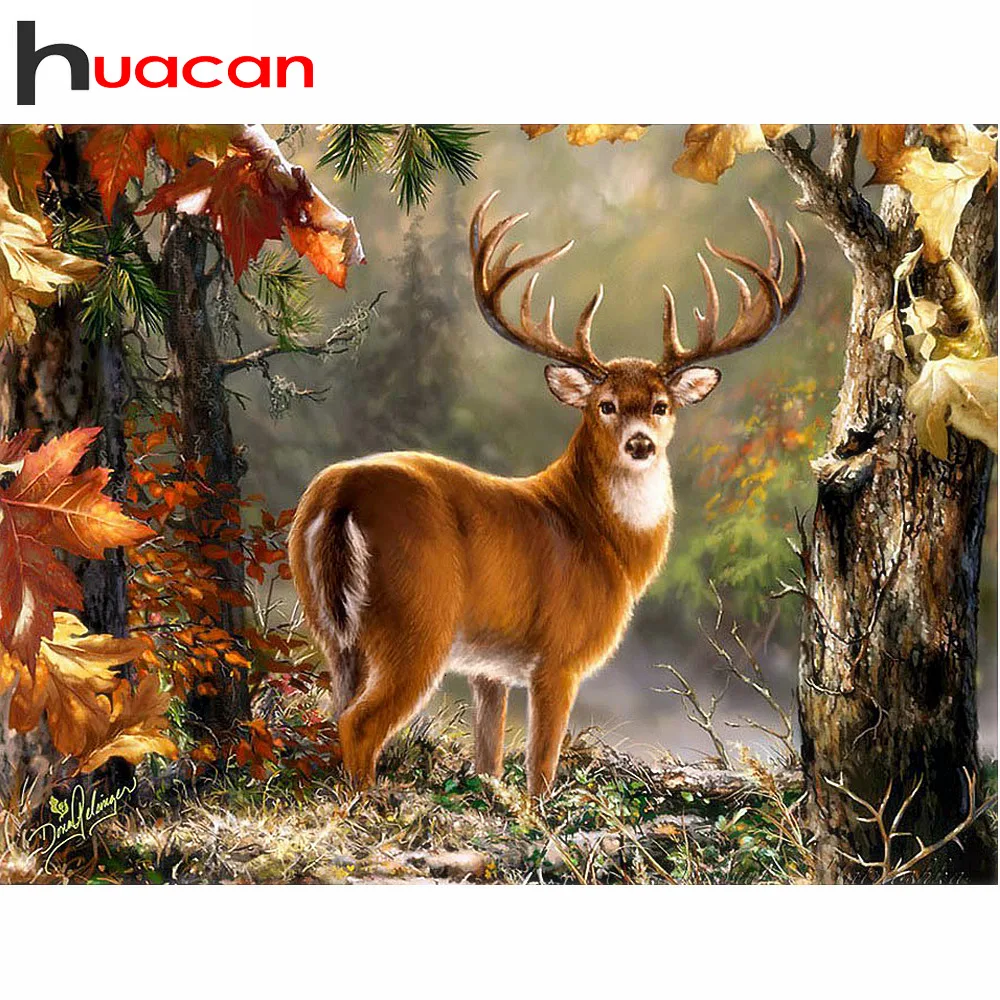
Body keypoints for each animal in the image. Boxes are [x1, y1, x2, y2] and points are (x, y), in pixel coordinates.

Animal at [288, 191, 804, 798]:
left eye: (661, 404)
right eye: (605, 405)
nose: (641, 444)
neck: (604, 543)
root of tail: (341, 494)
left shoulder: (488, 668)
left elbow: (488, 759)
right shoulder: (559, 656)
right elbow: (540, 769)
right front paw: (539, 814)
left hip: (331, 628)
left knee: (335, 711)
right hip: (417, 620)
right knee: (360, 723)